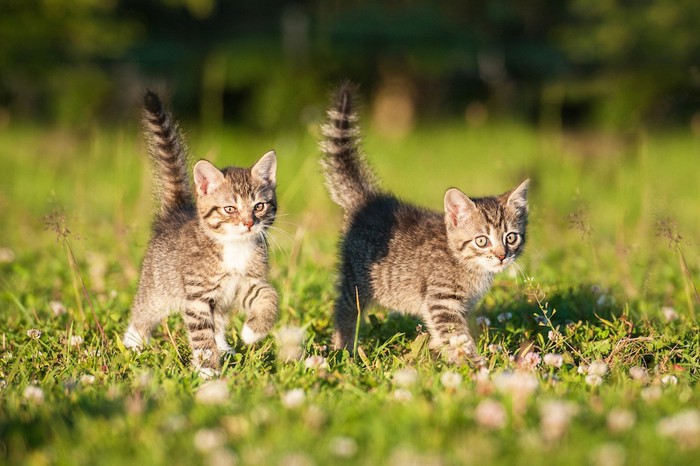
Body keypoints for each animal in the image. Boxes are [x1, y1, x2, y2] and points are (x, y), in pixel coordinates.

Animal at [123, 92, 278, 378]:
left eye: (259, 206)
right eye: (230, 209)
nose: (249, 223)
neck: (233, 246)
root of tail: (176, 210)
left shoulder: (242, 283)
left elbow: (269, 296)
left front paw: (253, 332)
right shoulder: (197, 296)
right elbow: (200, 333)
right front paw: (207, 370)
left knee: (218, 321)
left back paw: (224, 347)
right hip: (157, 285)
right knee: (143, 311)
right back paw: (133, 341)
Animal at [320, 85, 528, 366]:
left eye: (511, 238)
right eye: (481, 240)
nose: (501, 256)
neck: (466, 264)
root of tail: (370, 199)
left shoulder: (463, 305)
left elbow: (449, 334)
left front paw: (436, 355)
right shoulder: (442, 299)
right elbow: (456, 336)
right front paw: (475, 365)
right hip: (356, 278)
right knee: (345, 307)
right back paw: (344, 347)